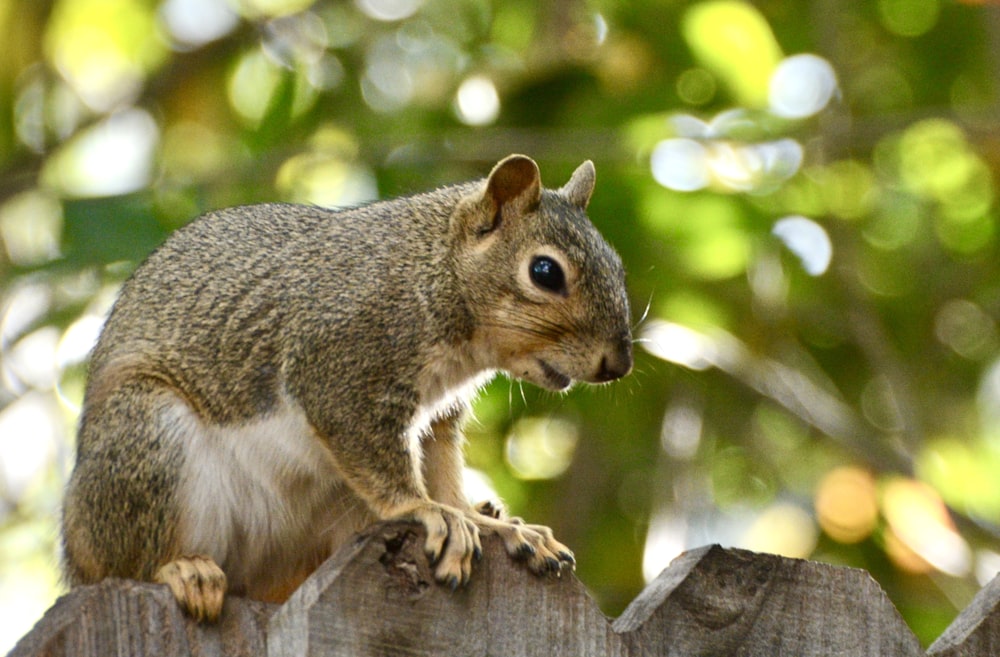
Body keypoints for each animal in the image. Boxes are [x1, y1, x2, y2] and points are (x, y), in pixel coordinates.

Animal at [60, 154, 632, 620]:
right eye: (545, 271)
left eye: (618, 265)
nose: (618, 363)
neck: (431, 270)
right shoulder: (340, 366)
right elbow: (379, 459)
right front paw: (427, 511)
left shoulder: (438, 417)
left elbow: (444, 472)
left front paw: (488, 523)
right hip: (145, 440)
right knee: (129, 560)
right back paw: (182, 570)